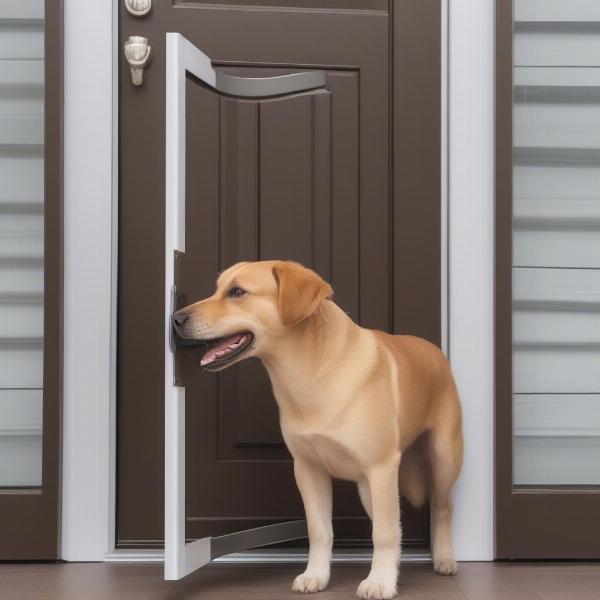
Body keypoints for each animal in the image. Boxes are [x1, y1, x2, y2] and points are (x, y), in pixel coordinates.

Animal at [171, 260, 462, 596]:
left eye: (237, 292)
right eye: (218, 289)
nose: (176, 319)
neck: (311, 372)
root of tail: (434, 349)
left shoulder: (381, 467)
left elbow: (385, 533)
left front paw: (379, 582)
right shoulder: (309, 470)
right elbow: (320, 530)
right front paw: (316, 576)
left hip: (443, 459)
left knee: (441, 507)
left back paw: (443, 560)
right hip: (367, 487)